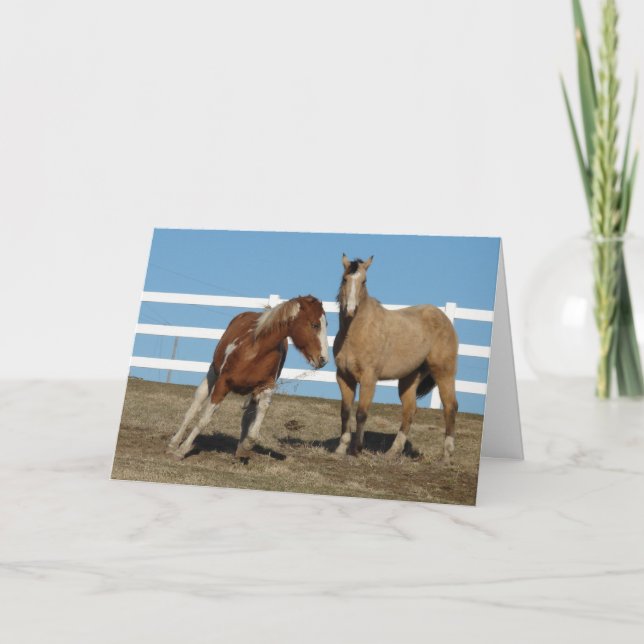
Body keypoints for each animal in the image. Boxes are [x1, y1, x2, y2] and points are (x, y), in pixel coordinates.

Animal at [167, 295, 329, 461]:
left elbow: (260, 414)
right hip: (213, 372)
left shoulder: (265, 387)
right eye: (315, 325)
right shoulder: (222, 383)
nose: (323, 359)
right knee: (194, 408)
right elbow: (204, 419)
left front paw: (246, 445)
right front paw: (182, 450)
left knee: (246, 417)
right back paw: (173, 445)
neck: (255, 350)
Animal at [332, 255, 459, 464]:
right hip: (409, 378)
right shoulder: (344, 377)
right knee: (409, 411)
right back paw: (393, 452)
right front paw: (341, 448)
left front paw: (357, 449)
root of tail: (444, 318)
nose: (350, 309)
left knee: (450, 407)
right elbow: (345, 412)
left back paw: (446, 456)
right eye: (344, 279)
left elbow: (361, 413)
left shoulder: (369, 379)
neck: (356, 333)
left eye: (364, 281)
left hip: (444, 372)